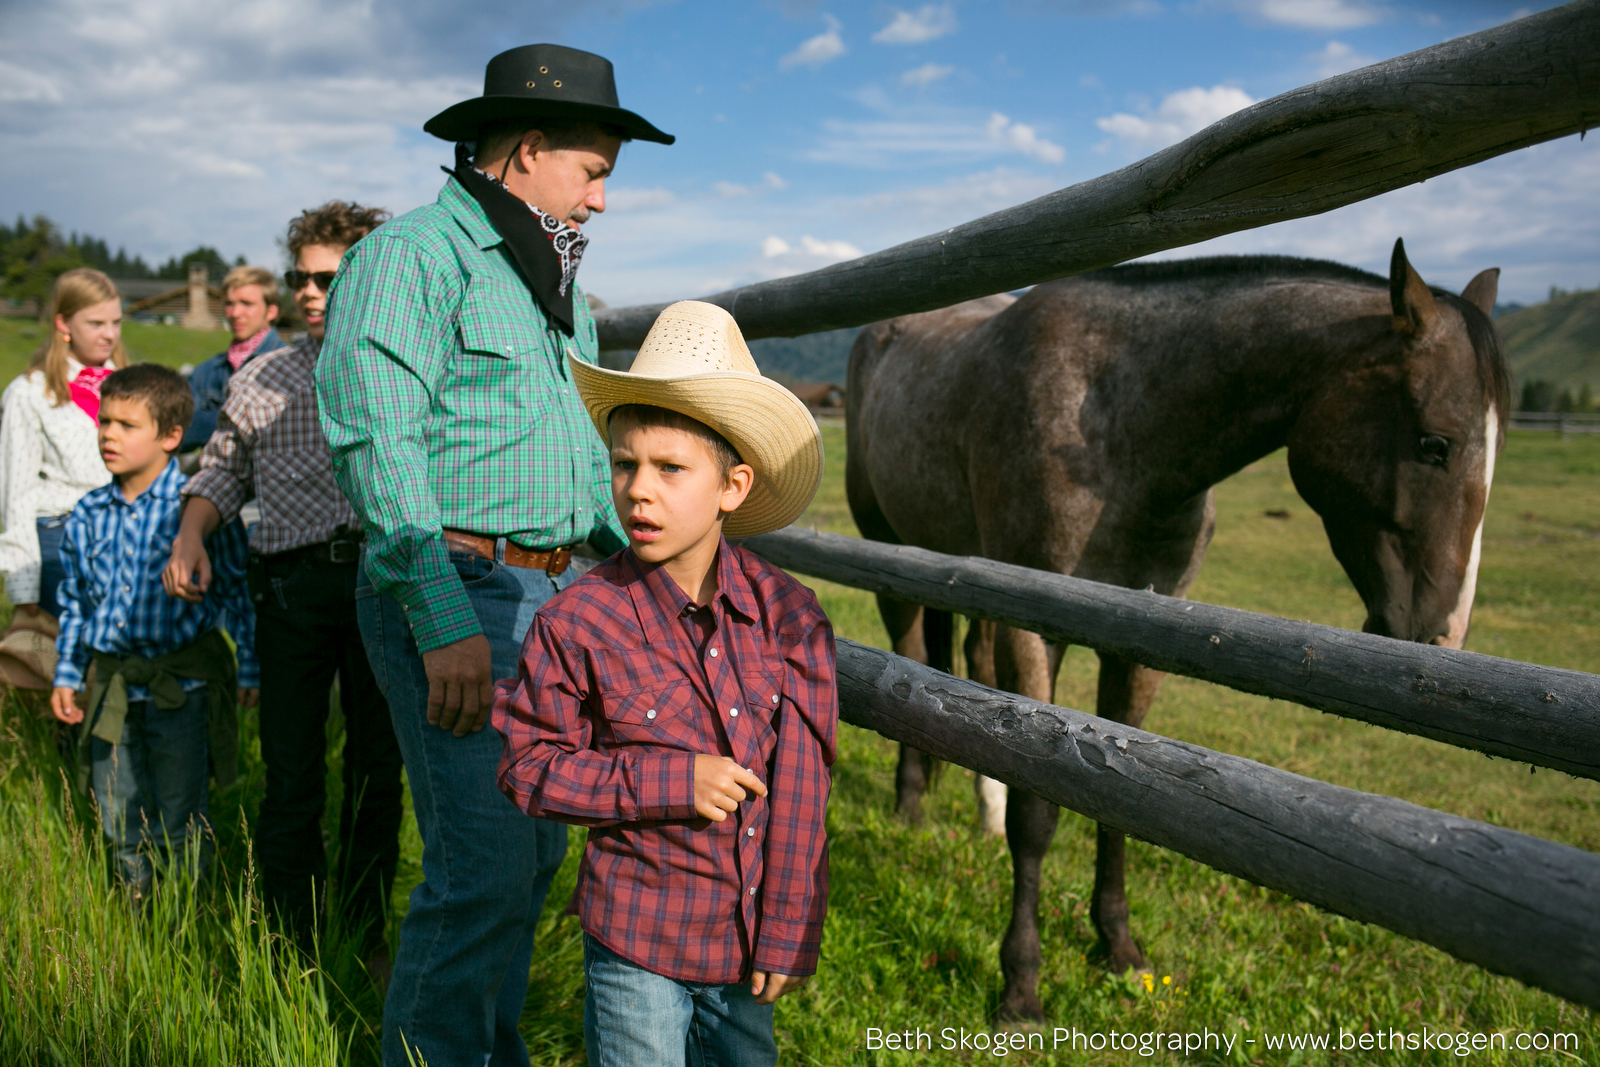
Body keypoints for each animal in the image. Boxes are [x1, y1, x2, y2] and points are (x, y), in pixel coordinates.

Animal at [844, 238, 1504, 1023]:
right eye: (1436, 444)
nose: (1440, 634)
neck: (1117, 422)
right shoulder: (1038, 632)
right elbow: (1040, 807)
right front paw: (1021, 984)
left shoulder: (1140, 638)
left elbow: (1121, 797)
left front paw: (1118, 948)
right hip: (890, 553)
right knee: (909, 654)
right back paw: (911, 803)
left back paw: (979, 811)